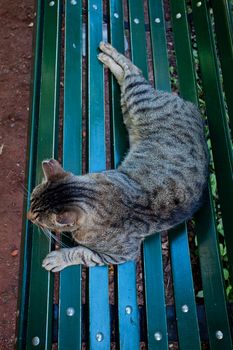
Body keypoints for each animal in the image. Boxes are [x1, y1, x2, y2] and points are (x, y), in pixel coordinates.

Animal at [26, 40, 208, 270]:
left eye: (38, 218)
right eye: (31, 200)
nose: (27, 216)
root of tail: (193, 109)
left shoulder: (116, 256)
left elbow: (80, 253)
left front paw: (58, 258)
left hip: (137, 101)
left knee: (133, 72)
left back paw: (108, 53)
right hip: (128, 109)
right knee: (130, 73)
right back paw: (107, 55)